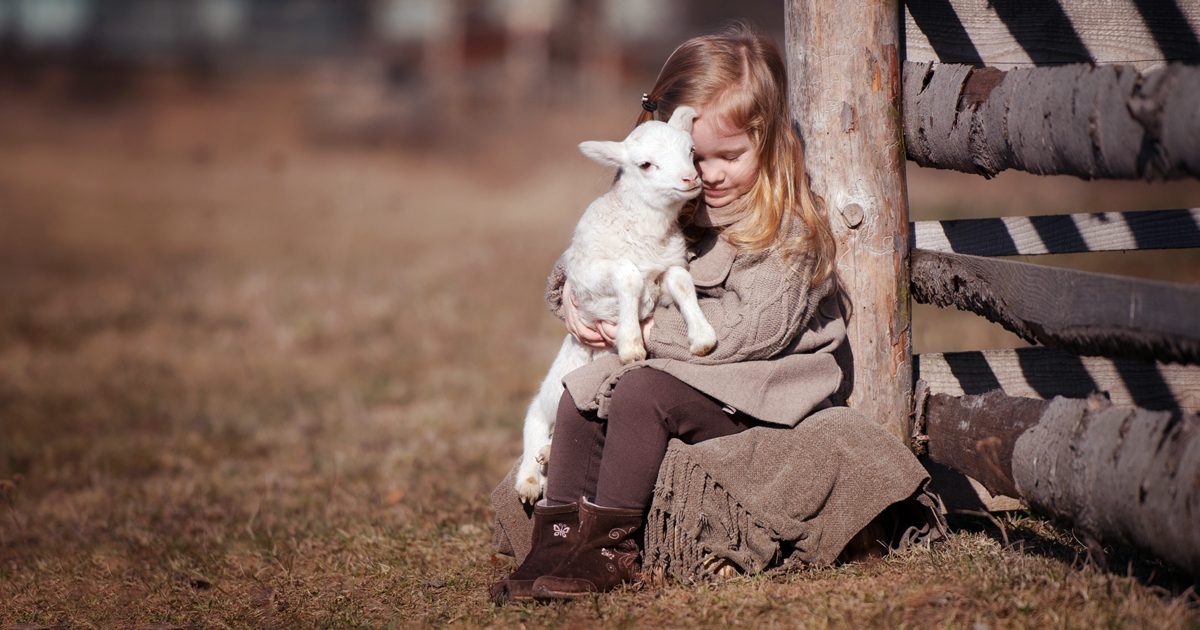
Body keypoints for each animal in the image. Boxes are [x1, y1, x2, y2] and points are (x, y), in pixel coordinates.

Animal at [513, 105, 715, 504]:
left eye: (691, 151)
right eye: (645, 164)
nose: (690, 179)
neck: (647, 234)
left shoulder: (670, 265)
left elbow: (682, 284)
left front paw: (702, 337)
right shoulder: (589, 276)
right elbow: (628, 276)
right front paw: (631, 344)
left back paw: (546, 457)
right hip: (554, 386)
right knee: (535, 418)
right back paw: (529, 477)